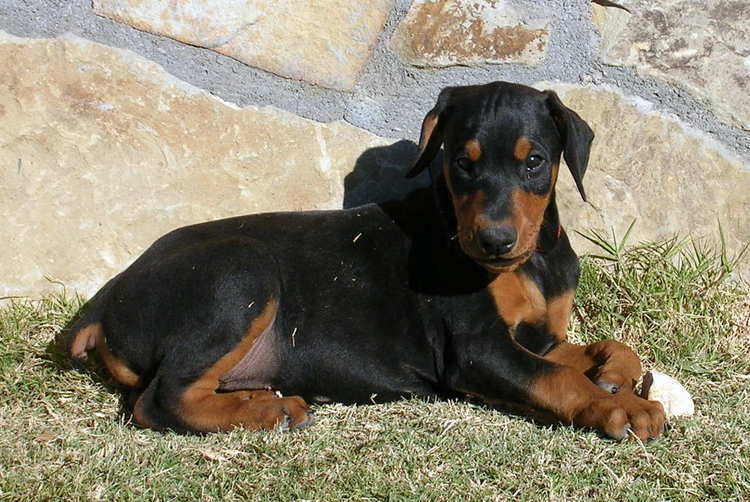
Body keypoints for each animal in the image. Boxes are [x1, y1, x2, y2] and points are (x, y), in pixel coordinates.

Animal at [69, 81, 668, 440]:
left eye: (535, 162)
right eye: (461, 162)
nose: (493, 241)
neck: (531, 262)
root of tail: (103, 303)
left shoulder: (535, 336)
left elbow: (609, 348)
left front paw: (612, 375)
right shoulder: (478, 350)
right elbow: (557, 378)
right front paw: (622, 408)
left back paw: (262, 401)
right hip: (240, 274)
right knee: (160, 400)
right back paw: (270, 411)